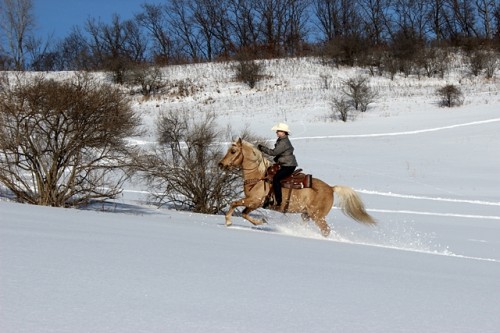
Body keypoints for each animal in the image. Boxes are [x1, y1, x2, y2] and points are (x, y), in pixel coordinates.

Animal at [219, 137, 376, 236]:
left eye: (233, 151)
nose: (221, 164)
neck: (259, 176)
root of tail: (331, 188)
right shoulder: (254, 203)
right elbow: (244, 213)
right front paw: (261, 221)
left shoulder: (254, 201)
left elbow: (234, 204)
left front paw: (228, 221)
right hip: (306, 215)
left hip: (317, 217)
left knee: (326, 231)